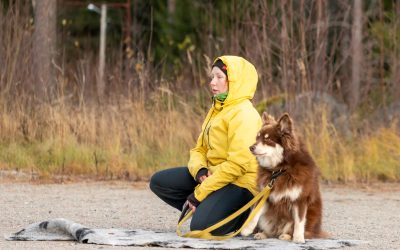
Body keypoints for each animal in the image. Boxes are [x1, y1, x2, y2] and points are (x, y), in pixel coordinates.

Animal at [241, 112, 324, 243]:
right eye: (257, 138)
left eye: (267, 139)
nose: (251, 147)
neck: (280, 170)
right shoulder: (265, 194)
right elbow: (255, 212)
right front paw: (246, 229)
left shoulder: (300, 199)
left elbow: (299, 222)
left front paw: (298, 238)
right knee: (272, 230)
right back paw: (263, 234)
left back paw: (287, 236)